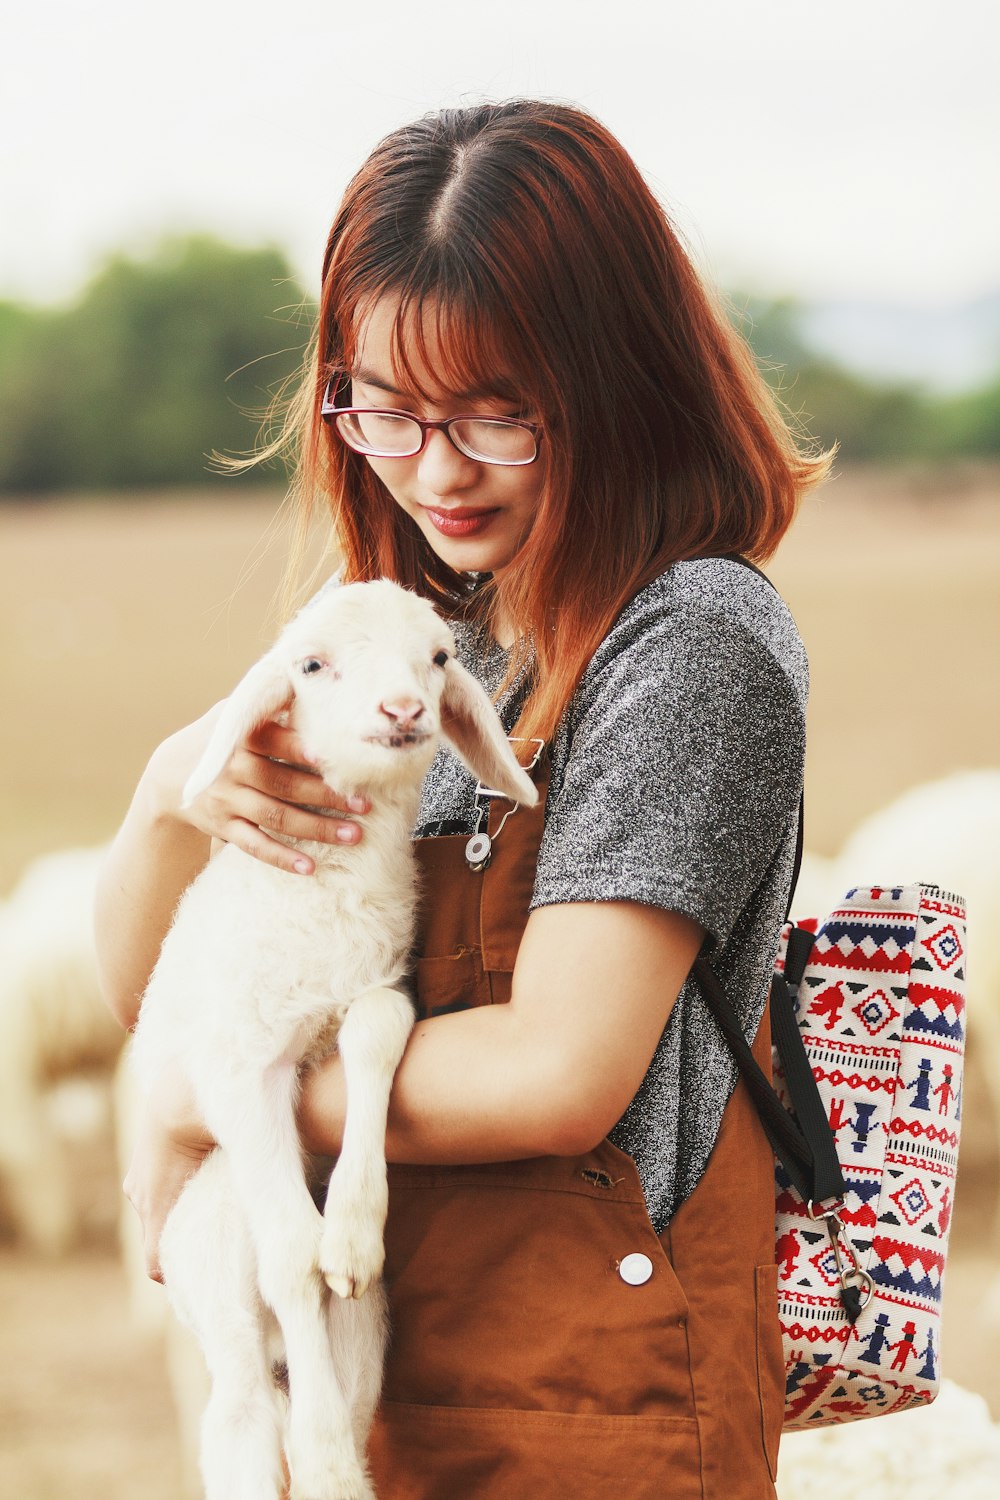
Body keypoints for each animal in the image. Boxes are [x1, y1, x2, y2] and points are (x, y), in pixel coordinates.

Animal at [132, 579, 539, 1500]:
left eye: (439, 657)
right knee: (246, 1405)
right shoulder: (239, 1064)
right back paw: (311, 1450)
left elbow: (374, 1044)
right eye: (311, 665)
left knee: (345, 1358)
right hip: (214, 1253)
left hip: (366, 1326)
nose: (404, 709)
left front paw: (353, 1229)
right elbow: (289, 1259)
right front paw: (314, 1448)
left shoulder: (377, 987)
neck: (326, 900)